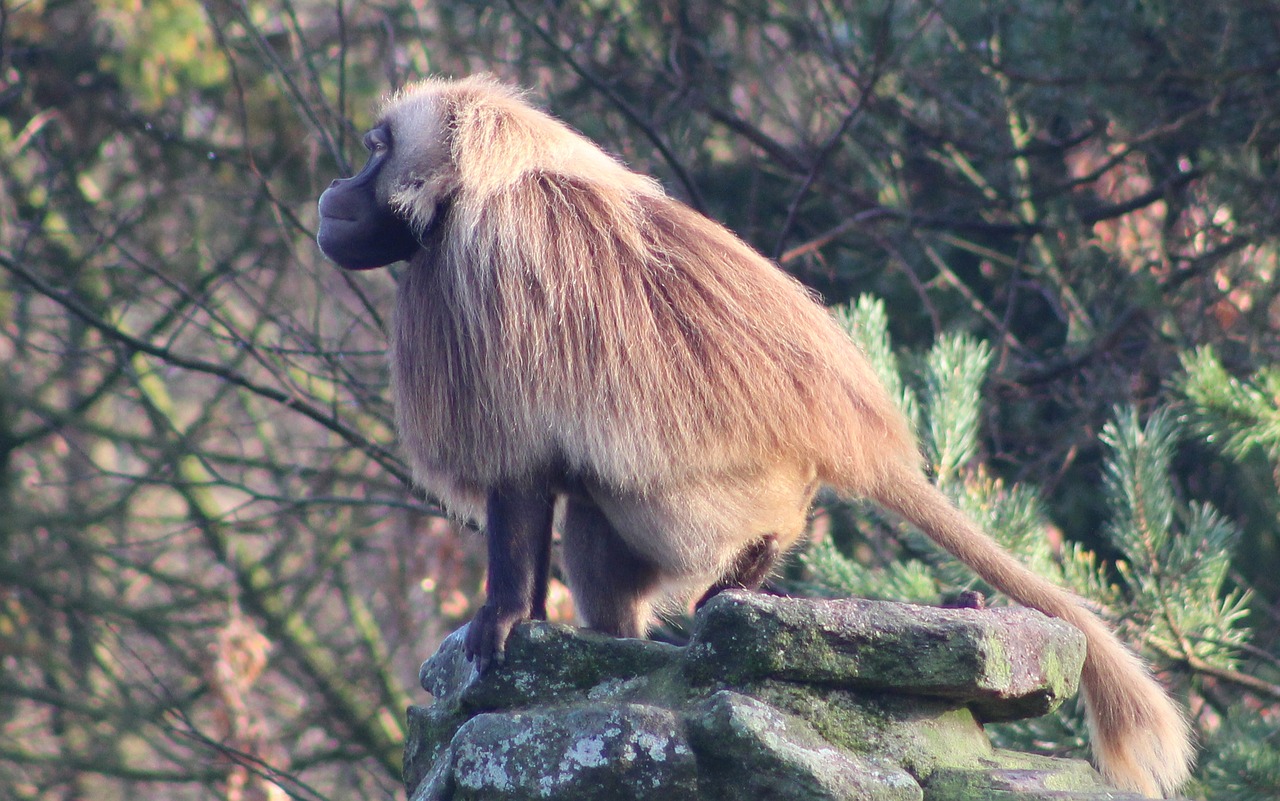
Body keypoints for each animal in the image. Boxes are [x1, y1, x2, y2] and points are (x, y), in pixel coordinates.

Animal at [314, 76, 1192, 793]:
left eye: (376, 152)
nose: (332, 192)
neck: (482, 186)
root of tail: (841, 440)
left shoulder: (479, 277)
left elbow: (518, 470)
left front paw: (498, 617)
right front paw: (528, 619)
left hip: (720, 497)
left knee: (637, 506)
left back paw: (747, 576)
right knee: (595, 531)